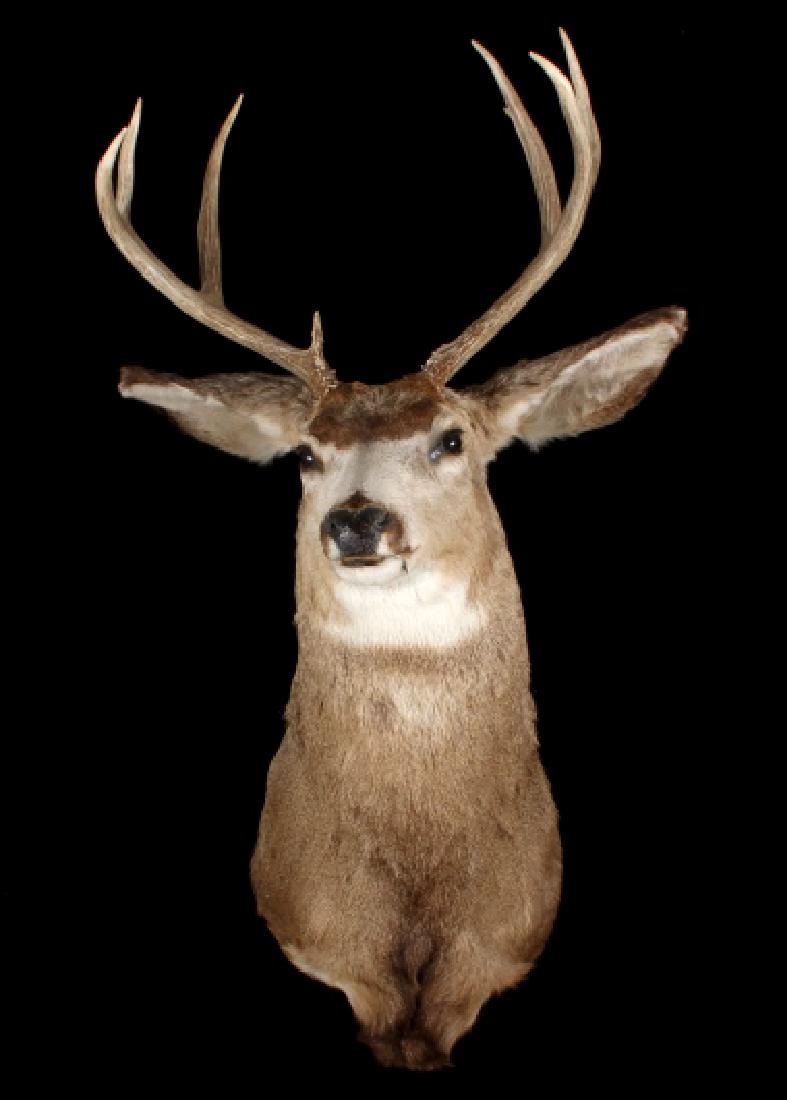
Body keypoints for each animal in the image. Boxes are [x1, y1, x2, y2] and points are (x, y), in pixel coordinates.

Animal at [96, 29, 686, 1071]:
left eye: (450, 440)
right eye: (304, 456)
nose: (356, 520)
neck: (416, 889)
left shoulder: (493, 955)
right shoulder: (332, 951)